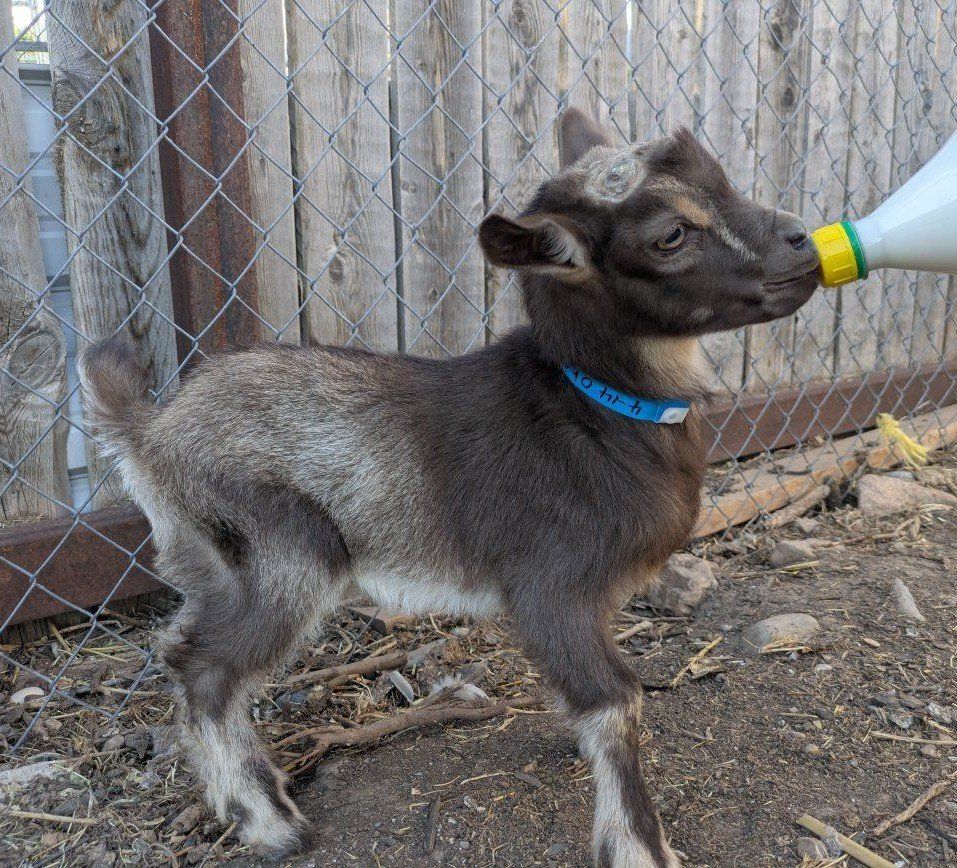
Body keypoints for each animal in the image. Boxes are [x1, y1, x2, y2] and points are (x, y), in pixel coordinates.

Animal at [79, 109, 819, 866]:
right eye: (670, 234)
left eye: (720, 177)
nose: (802, 244)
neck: (593, 413)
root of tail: (148, 432)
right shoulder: (548, 583)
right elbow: (613, 699)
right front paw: (640, 846)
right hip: (278, 550)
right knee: (205, 669)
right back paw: (273, 822)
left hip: (211, 563)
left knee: (182, 648)